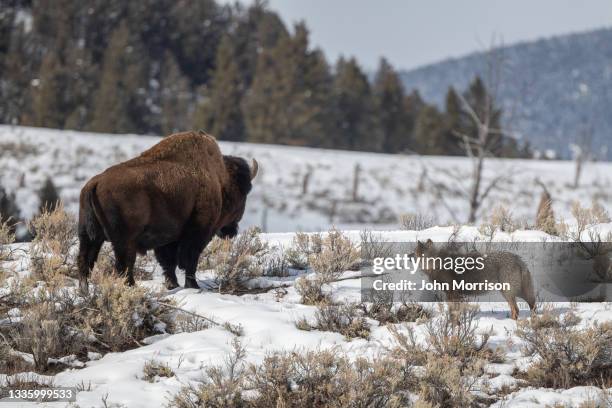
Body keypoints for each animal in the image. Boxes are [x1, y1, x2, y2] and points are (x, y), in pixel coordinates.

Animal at [77, 131, 258, 294]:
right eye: (243, 193)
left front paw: (173, 285)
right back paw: (132, 288)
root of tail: (95, 183)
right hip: (124, 240)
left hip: (89, 237)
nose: (231, 231)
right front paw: (193, 286)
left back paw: (85, 292)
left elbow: (169, 263)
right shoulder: (196, 233)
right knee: (123, 265)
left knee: (85, 262)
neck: (220, 181)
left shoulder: (167, 239)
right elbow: (189, 261)